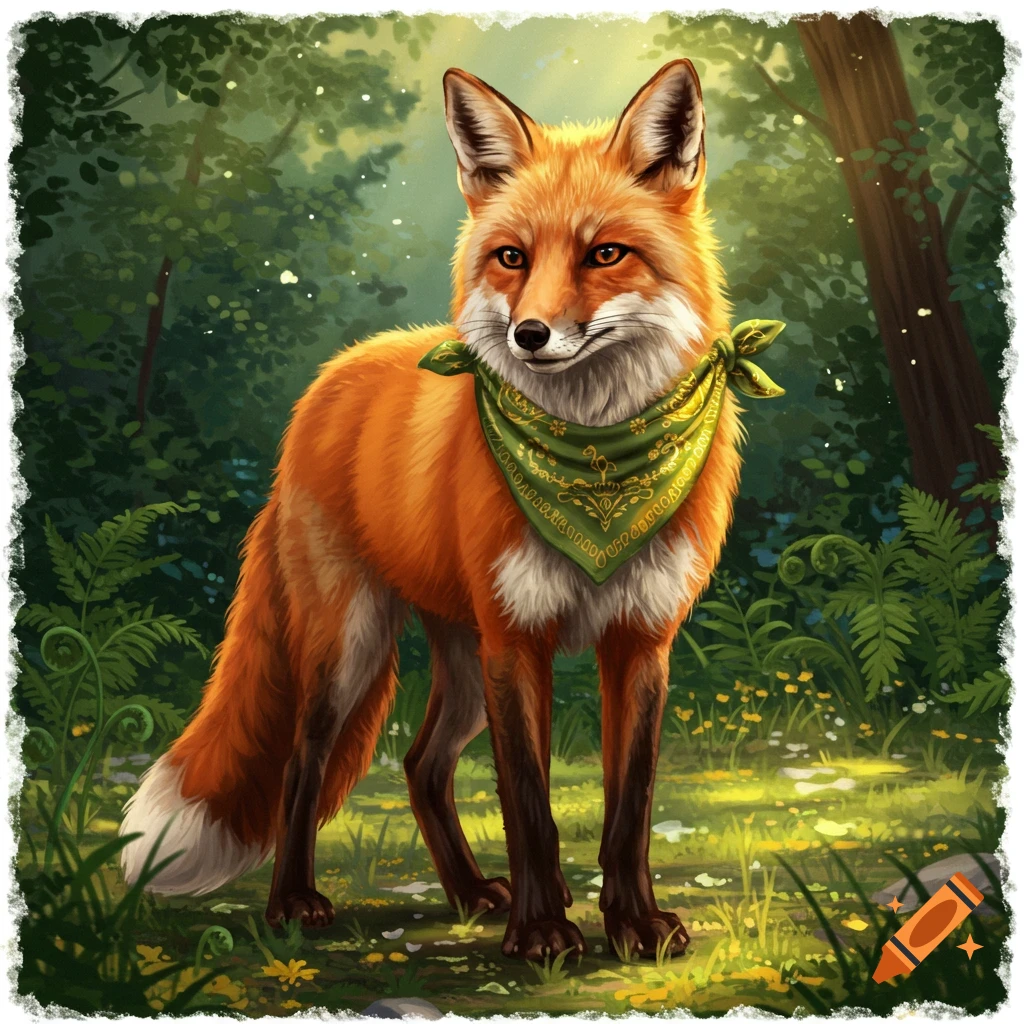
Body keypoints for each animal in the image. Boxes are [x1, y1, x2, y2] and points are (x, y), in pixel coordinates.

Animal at [121, 59, 748, 963]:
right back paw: (296, 902)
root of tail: (325, 385)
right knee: (303, 765)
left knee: (422, 764)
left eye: (605, 254)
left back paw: (468, 893)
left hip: (462, 662)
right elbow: (530, 804)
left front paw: (632, 925)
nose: (530, 334)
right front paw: (542, 935)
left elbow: (626, 809)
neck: (596, 472)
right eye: (512, 257)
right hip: (352, 647)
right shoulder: (517, 639)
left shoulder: (639, 640)